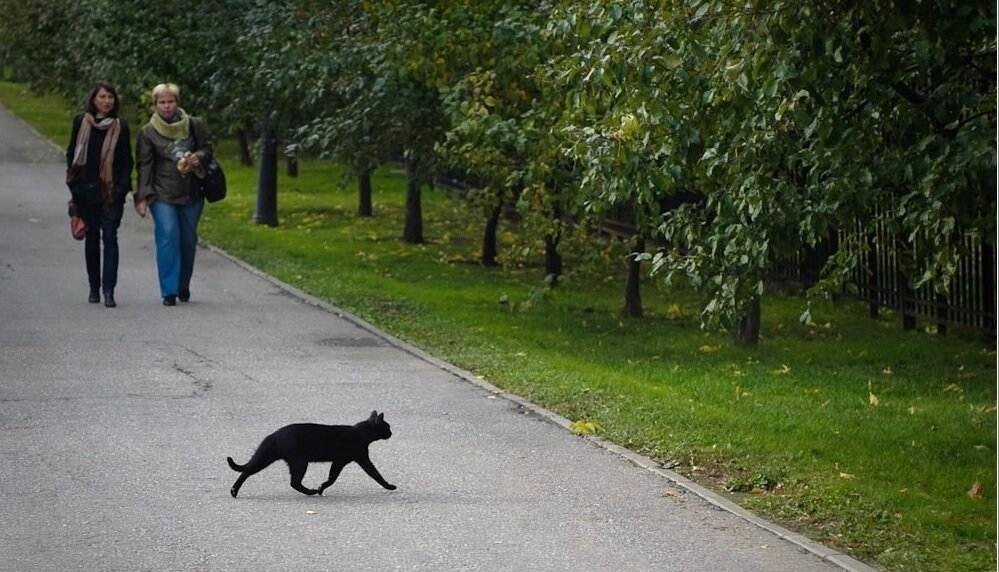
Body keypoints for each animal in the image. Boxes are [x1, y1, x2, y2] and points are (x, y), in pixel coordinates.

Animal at [229, 408, 396, 498]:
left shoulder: (341, 461)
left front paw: (322, 487)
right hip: (299, 462)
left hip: (268, 457)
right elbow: (375, 474)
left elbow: (333, 476)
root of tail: (274, 434)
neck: (361, 433)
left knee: (248, 470)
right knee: (293, 482)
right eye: (387, 427)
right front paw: (389, 486)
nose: (391, 433)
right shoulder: (356, 459)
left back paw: (234, 491)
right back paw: (311, 491)